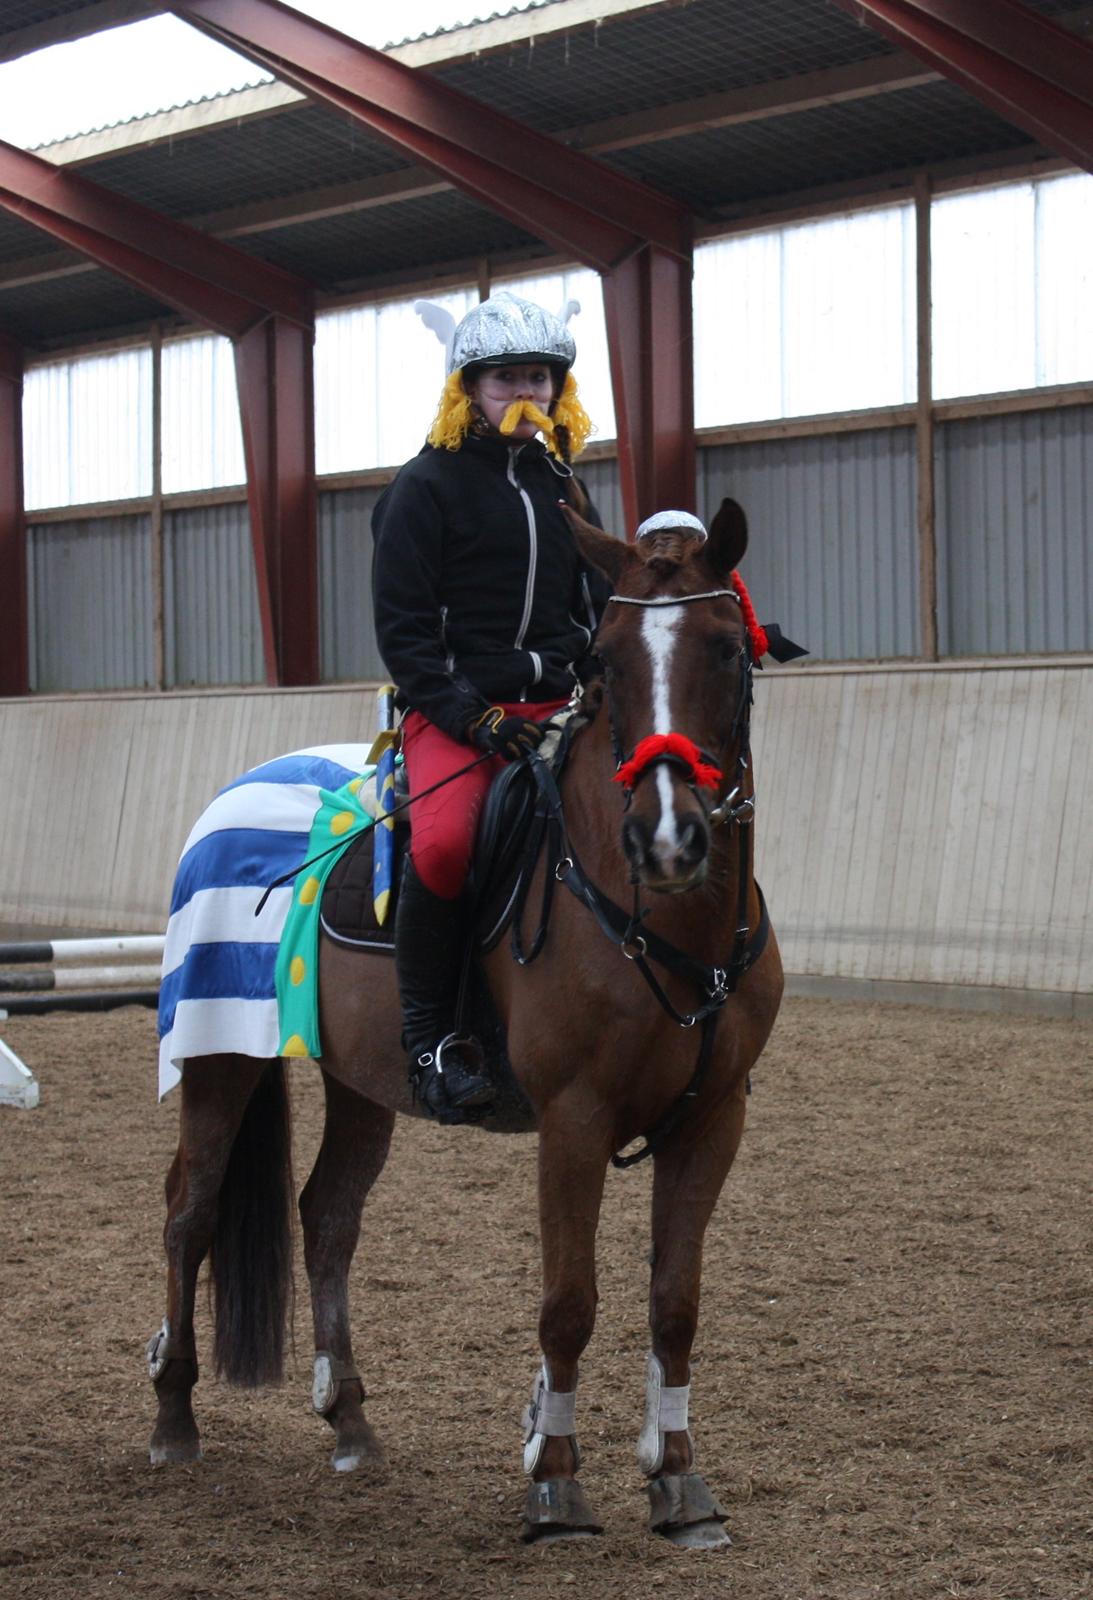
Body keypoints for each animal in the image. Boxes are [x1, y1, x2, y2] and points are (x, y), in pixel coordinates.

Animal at [149, 499, 787, 1548]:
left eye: (727, 649)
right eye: (605, 661)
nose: (667, 838)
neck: (659, 915)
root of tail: (241, 791)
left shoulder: (714, 1117)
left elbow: (674, 1304)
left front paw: (678, 1482)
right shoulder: (574, 1118)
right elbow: (569, 1303)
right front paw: (555, 1484)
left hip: (361, 1078)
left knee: (327, 1216)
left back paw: (349, 1421)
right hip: (218, 1055)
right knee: (189, 1213)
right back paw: (172, 1416)